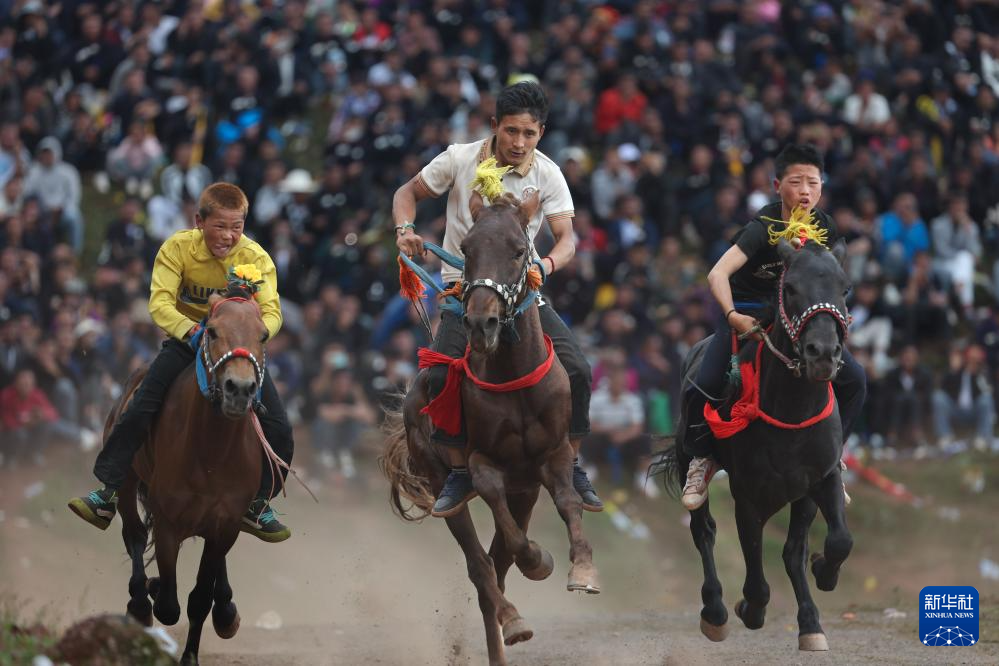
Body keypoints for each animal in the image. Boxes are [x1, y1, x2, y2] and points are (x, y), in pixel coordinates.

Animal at [115, 288, 270, 660]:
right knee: (134, 534)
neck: (212, 452)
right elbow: (168, 605)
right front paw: (154, 589)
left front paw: (192, 652)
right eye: (211, 331)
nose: (239, 389)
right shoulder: (168, 522)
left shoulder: (225, 524)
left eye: (263, 335)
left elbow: (199, 598)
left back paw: (226, 610)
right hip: (127, 482)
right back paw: (140, 600)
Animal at [382, 191, 600, 664]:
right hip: (443, 485)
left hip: (526, 490)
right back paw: (513, 622)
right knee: (482, 571)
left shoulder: (552, 457)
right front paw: (539, 561)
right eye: (466, 250)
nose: (482, 323)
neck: (511, 377)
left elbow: (568, 503)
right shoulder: (483, 464)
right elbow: (504, 528)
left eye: (520, 251)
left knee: (497, 567)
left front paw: (582, 570)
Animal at [660, 237, 856, 648]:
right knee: (704, 531)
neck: (792, 411)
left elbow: (837, 541)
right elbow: (754, 572)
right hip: (689, 457)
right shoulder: (748, 495)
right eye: (791, 287)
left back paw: (810, 622)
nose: (822, 353)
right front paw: (749, 609)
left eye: (844, 289)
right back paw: (715, 611)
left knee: (792, 552)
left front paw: (824, 573)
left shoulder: (821, 478)